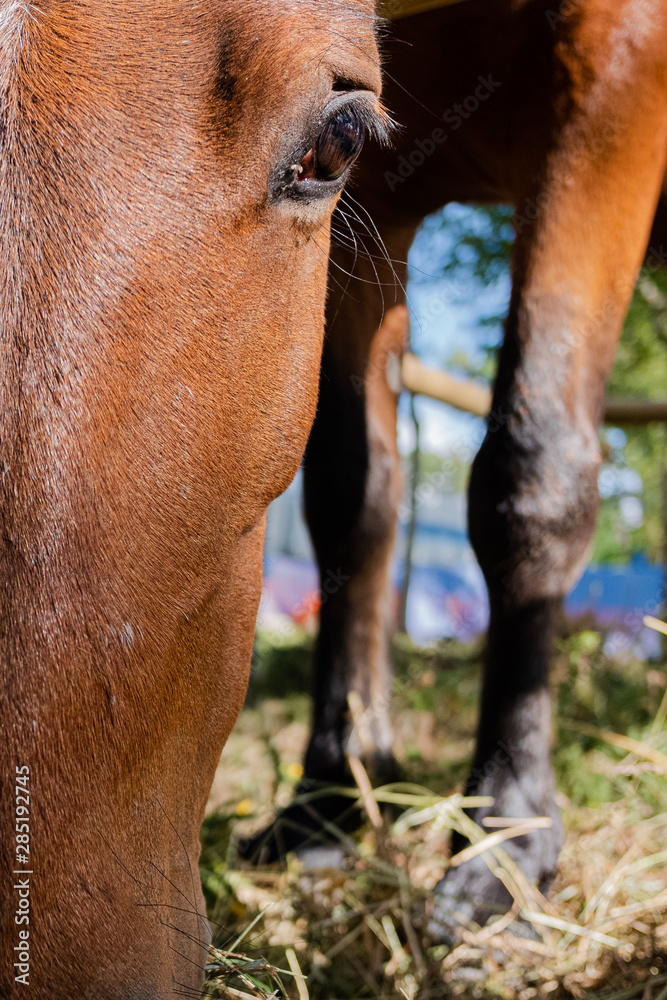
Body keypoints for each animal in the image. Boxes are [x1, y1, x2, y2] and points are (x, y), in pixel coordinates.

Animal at [241, 0, 667, 937]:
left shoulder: (610, 89)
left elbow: (530, 474)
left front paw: (503, 837)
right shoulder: (362, 184)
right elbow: (352, 497)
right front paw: (333, 793)